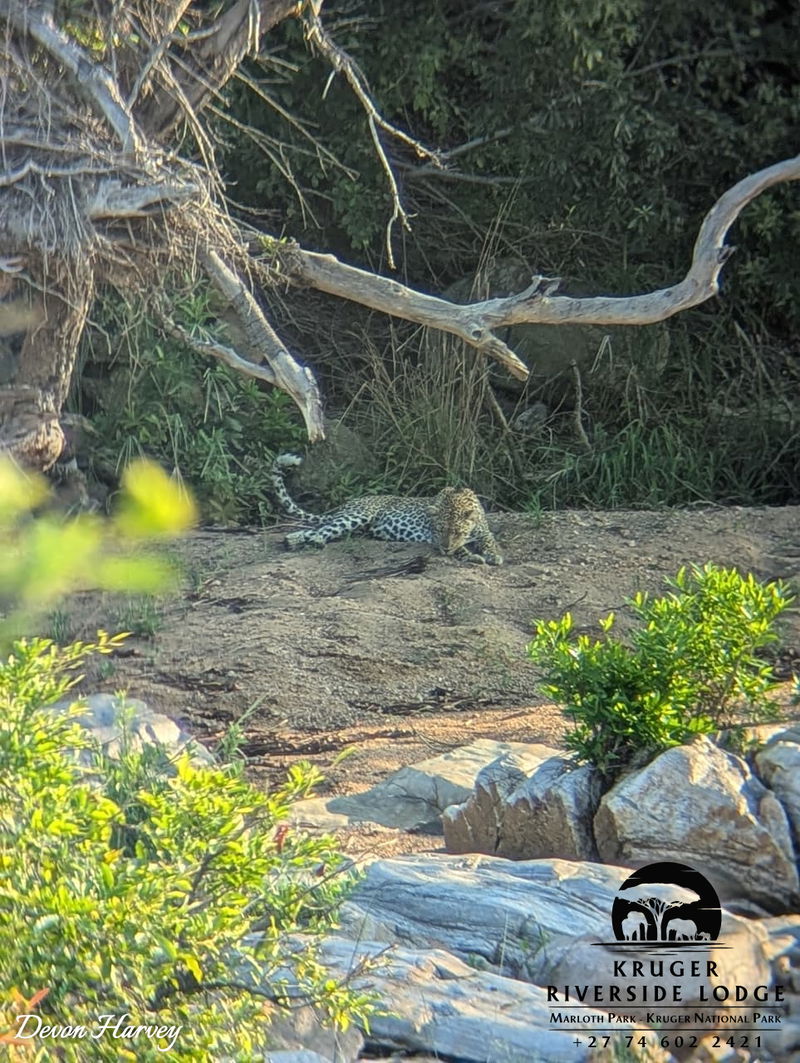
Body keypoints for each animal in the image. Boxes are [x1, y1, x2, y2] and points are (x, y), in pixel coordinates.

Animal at [270, 453, 503, 565]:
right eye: (439, 531)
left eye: (457, 531)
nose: (445, 549)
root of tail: (346, 504)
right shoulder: (435, 540)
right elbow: (460, 549)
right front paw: (472, 556)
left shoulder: (484, 531)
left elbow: (489, 542)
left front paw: (493, 555)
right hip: (357, 516)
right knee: (321, 530)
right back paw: (311, 541)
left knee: (311, 531)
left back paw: (292, 540)